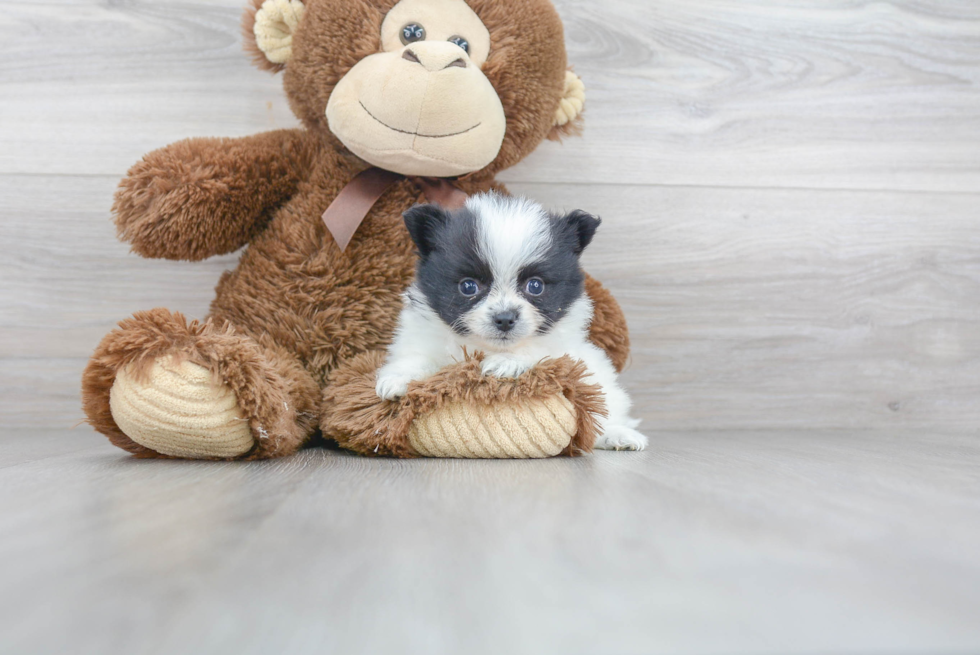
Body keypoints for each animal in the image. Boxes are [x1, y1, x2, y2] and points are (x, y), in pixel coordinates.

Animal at [378, 192, 648, 454]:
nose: (505, 318)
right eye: (468, 286)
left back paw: (618, 435)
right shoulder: (423, 337)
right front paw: (397, 378)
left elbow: (539, 350)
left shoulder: (564, 349)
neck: (486, 347)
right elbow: (417, 358)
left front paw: (507, 362)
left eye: (535, 286)